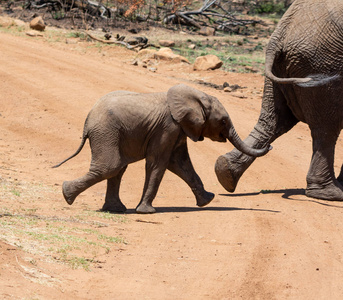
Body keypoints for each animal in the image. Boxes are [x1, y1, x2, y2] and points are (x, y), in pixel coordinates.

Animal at [53, 84, 272, 213]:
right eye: (223, 121)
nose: (270, 145)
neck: (196, 96)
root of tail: (87, 121)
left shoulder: (179, 129)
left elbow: (180, 164)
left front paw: (207, 201)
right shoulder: (168, 127)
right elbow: (159, 163)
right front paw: (146, 211)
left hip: (111, 135)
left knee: (117, 169)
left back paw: (114, 209)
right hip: (106, 133)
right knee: (111, 167)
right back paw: (66, 194)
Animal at [216, 0, 342, 202]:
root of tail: (280, 35)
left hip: (288, 66)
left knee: (273, 121)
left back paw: (225, 173)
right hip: (323, 62)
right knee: (326, 129)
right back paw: (330, 194)